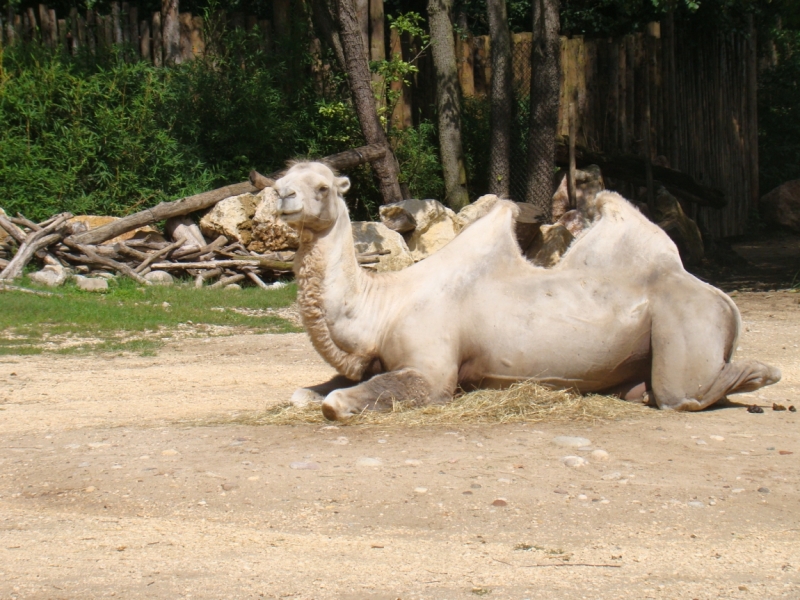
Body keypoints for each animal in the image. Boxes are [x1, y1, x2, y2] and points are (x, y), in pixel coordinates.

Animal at [270, 162, 780, 420]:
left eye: (322, 186)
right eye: (282, 178)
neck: (383, 306)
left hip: (688, 328)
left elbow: (336, 403)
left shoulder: (431, 373)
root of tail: (724, 300)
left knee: (685, 393)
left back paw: (765, 374)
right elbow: (302, 393)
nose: (280, 195)